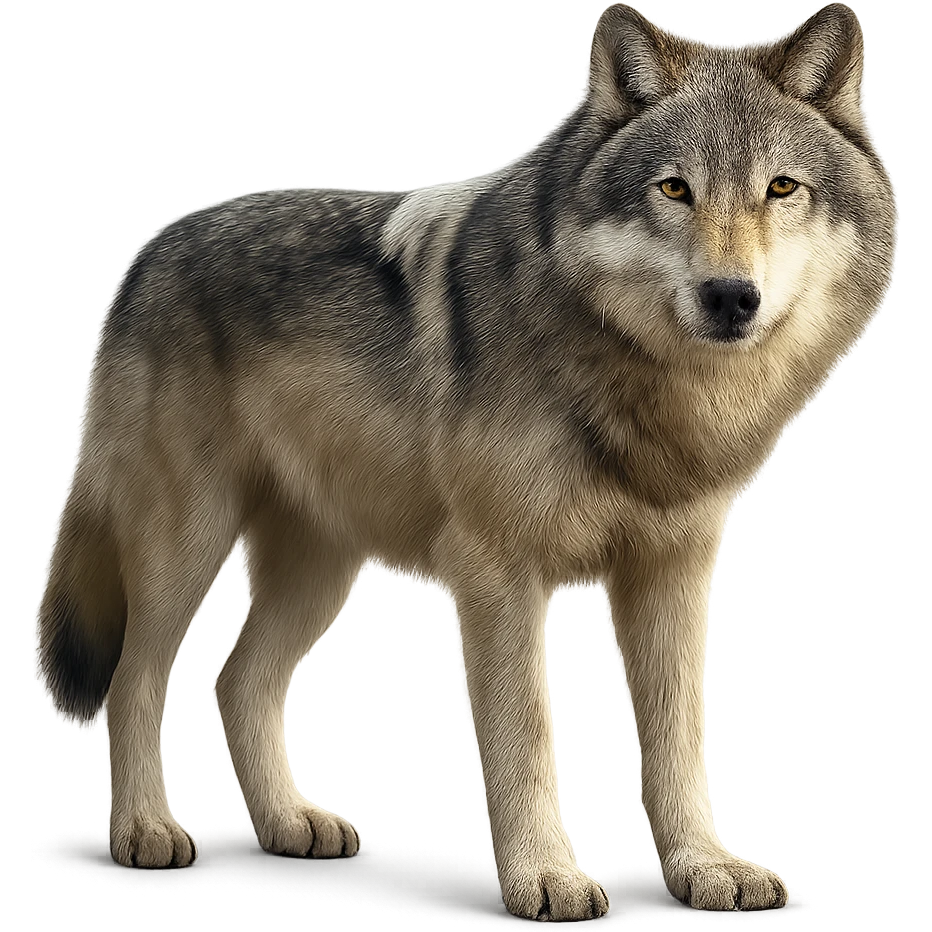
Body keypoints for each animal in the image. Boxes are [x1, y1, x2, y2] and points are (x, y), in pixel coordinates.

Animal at [34, 1, 895, 920]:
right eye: (674, 189)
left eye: (781, 188)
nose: (731, 297)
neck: (649, 391)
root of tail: (146, 253)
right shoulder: (500, 571)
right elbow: (528, 735)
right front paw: (547, 876)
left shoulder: (674, 571)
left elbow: (681, 742)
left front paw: (705, 867)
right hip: (186, 547)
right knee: (134, 680)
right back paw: (145, 831)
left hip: (323, 567)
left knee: (237, 682)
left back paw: (291, 824)